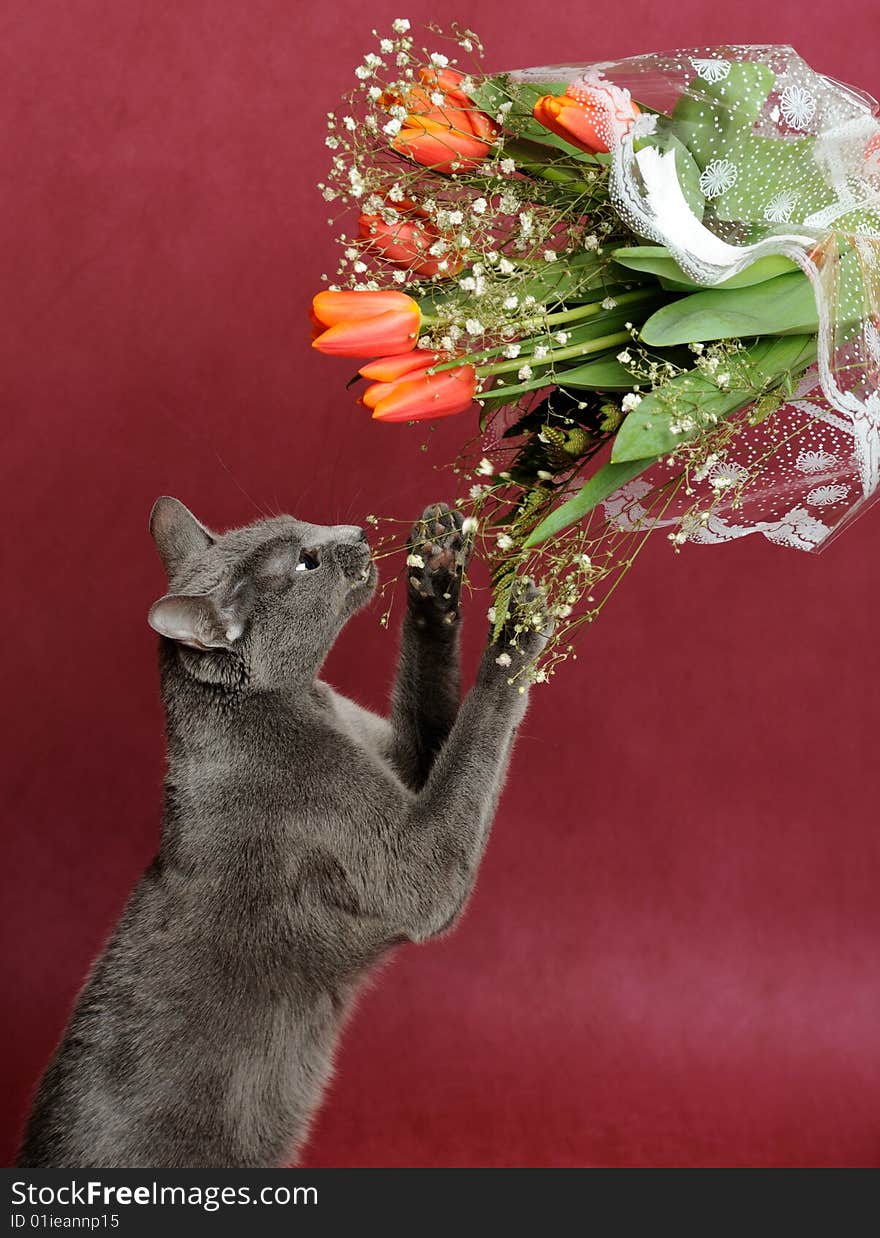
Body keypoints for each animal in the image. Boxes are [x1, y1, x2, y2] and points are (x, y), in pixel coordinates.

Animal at [17, 495, 547, 1168]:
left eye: (303, 527)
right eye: (305, 562)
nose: (356, 532)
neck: (298, 707)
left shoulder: (394, 758)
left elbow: (432, 727)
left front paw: (436, 568)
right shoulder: (408, 860)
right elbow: (470, 751)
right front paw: (517, 633)